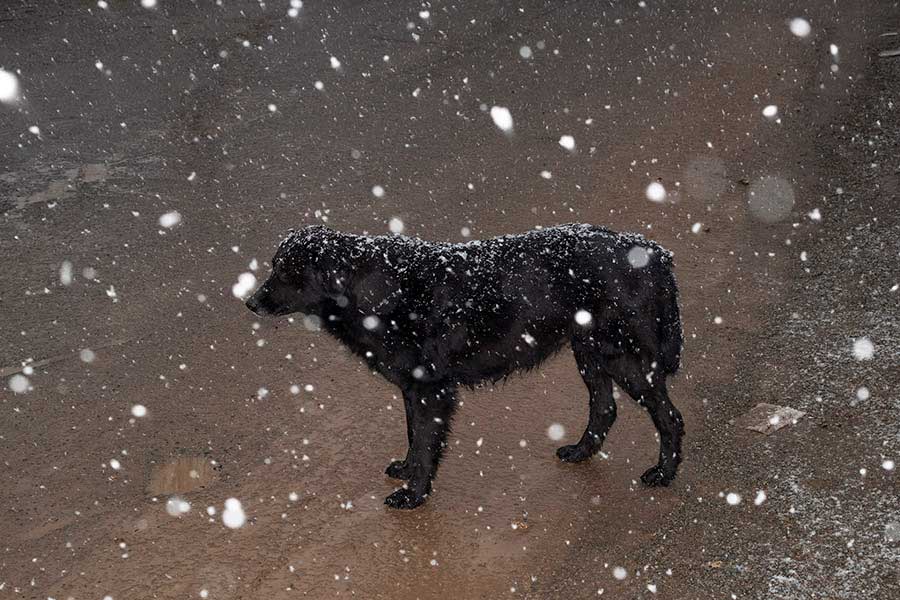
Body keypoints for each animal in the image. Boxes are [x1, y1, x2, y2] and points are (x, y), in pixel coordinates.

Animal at [245, 223, 685, 509]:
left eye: (286, 271)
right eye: (274, 265)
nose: (249, 302)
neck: (373, 288)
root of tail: (654, 252)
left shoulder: (430, 389)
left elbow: (426, 443)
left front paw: (414, 494)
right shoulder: (413, 389)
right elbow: (413, 437)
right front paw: (407, 470)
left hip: (623, 358)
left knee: (669, 417)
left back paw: (664, 474)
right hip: (590, 354)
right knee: (604, 409)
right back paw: (581, 451)